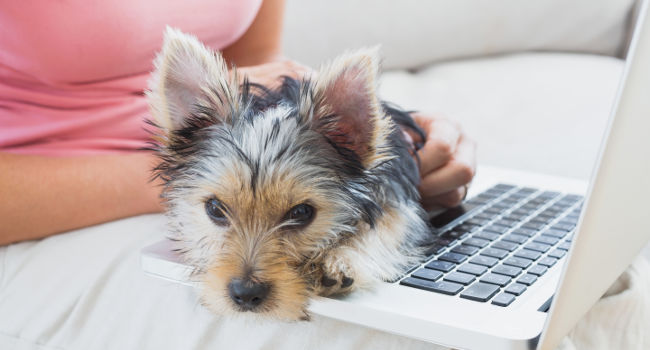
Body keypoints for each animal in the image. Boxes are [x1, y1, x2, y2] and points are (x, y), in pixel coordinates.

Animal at [147, 28, 430, 322]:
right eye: (215, 209)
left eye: (302, 213)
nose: (245, 294)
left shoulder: (396, 197)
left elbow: (390, 223)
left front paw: (342, 260)